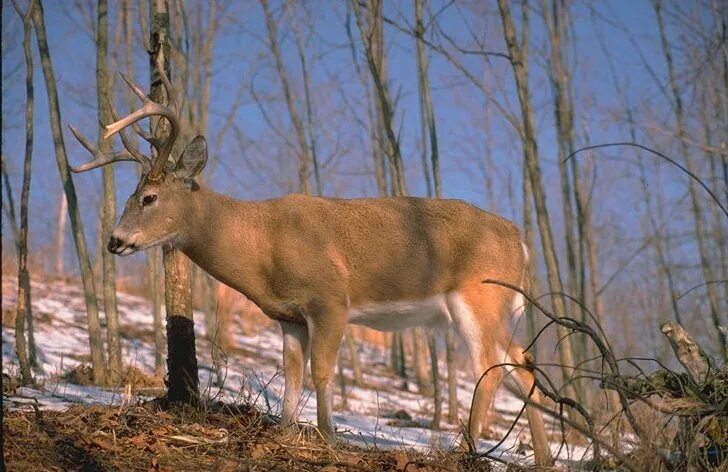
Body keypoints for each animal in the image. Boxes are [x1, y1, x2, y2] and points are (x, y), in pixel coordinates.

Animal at [71, 67, 556, 468]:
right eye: (130, 197)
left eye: (149, 198)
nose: (115, 241)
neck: (262, 245)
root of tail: (520, 239)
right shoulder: (288, 316)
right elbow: (292, 374)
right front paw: (285, 431)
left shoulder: (330, 299)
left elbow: (323, 371)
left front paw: (327, 437)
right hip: (497, 308)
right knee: (522, 362)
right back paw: (544, 457)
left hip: (479, 296)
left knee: (490, 368)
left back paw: (468, 450)